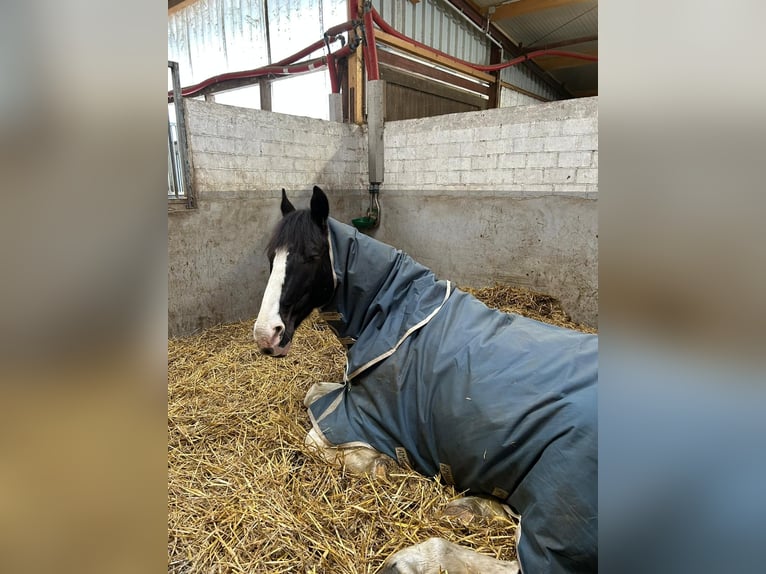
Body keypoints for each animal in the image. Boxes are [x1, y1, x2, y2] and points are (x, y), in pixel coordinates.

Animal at [255, 187, 596, 572]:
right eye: (271, 256)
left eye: (312, 255)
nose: (265, 335)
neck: (393, 313)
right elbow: (313, 393)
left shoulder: (367, 417)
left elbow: (315, 440)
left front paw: (380, 466)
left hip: (559, 508)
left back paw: (414, 557)